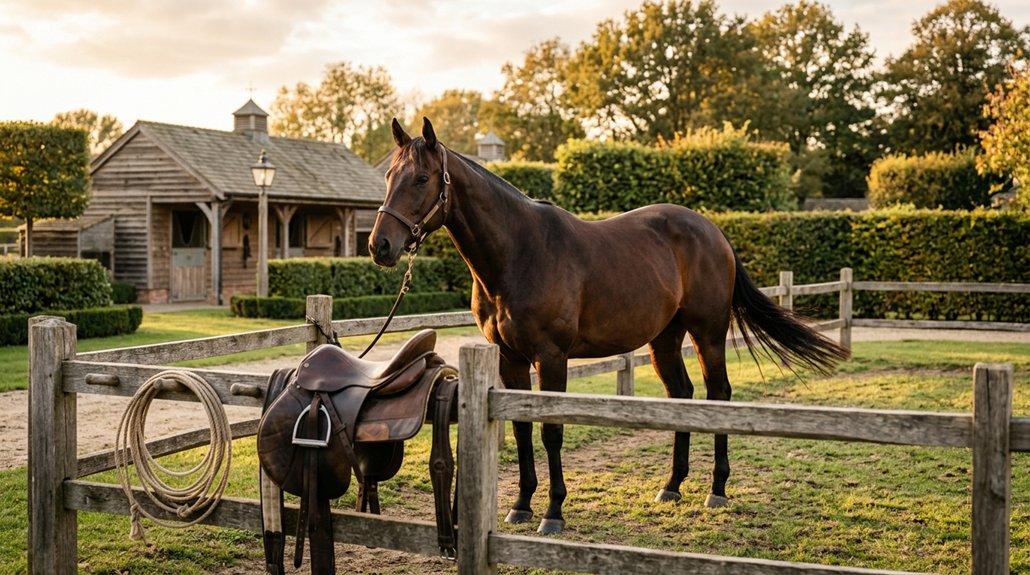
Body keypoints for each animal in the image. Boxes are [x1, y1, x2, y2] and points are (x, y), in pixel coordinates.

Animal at [369, 117, 849, 535]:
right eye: (389, 175)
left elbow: (551, 430)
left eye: (421, 179)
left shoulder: (552, 358)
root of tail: (714, 231)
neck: (520, 252)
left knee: (719, 395)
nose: (380, 246)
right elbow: (521, 426)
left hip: (708, 334)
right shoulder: (509, 359)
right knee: (683, 395)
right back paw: (672, 486)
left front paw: (554, 513)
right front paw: (521, 506)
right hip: (665, 340)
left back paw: (716, 489)